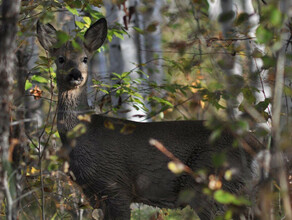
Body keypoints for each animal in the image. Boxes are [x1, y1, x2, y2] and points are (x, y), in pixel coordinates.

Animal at [37, 17, 262, 220]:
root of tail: (258, 147)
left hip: (212, 185)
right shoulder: (97, 195)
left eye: (85, 58)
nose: (75, 75)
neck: (82, 133)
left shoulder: (115, 186)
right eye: (60, 59)